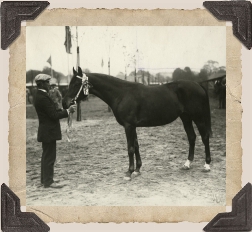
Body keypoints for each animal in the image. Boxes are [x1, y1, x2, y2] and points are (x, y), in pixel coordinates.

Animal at [63, 66, 213, 179]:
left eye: (76, 84)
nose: (65, 103)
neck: (121, 94)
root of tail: (198, 85)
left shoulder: (128, 126)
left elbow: (130, 148)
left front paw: (129, 172)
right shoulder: (132, 126)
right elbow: (136, 146)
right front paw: (137, 170)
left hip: (198, 117)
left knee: (204, 137)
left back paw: (207, 165)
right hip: (186, 117)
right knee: (192, 137)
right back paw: (187, 164)